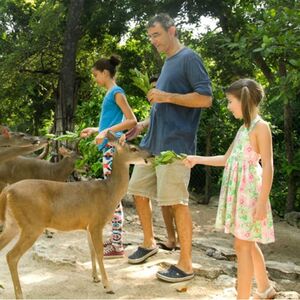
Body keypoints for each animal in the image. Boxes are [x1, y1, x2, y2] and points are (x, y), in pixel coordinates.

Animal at [0, 132, 150, 300]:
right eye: (134, 148)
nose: (151, 155)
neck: (109, 192)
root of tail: (7, 192)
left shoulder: (88, 225)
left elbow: (91, 250)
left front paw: (95, 277)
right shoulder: (97, 222)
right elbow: (99, 252)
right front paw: (108, 286)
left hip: (13, 223)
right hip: (32, 225)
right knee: (11, 256)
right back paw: (20, 295)